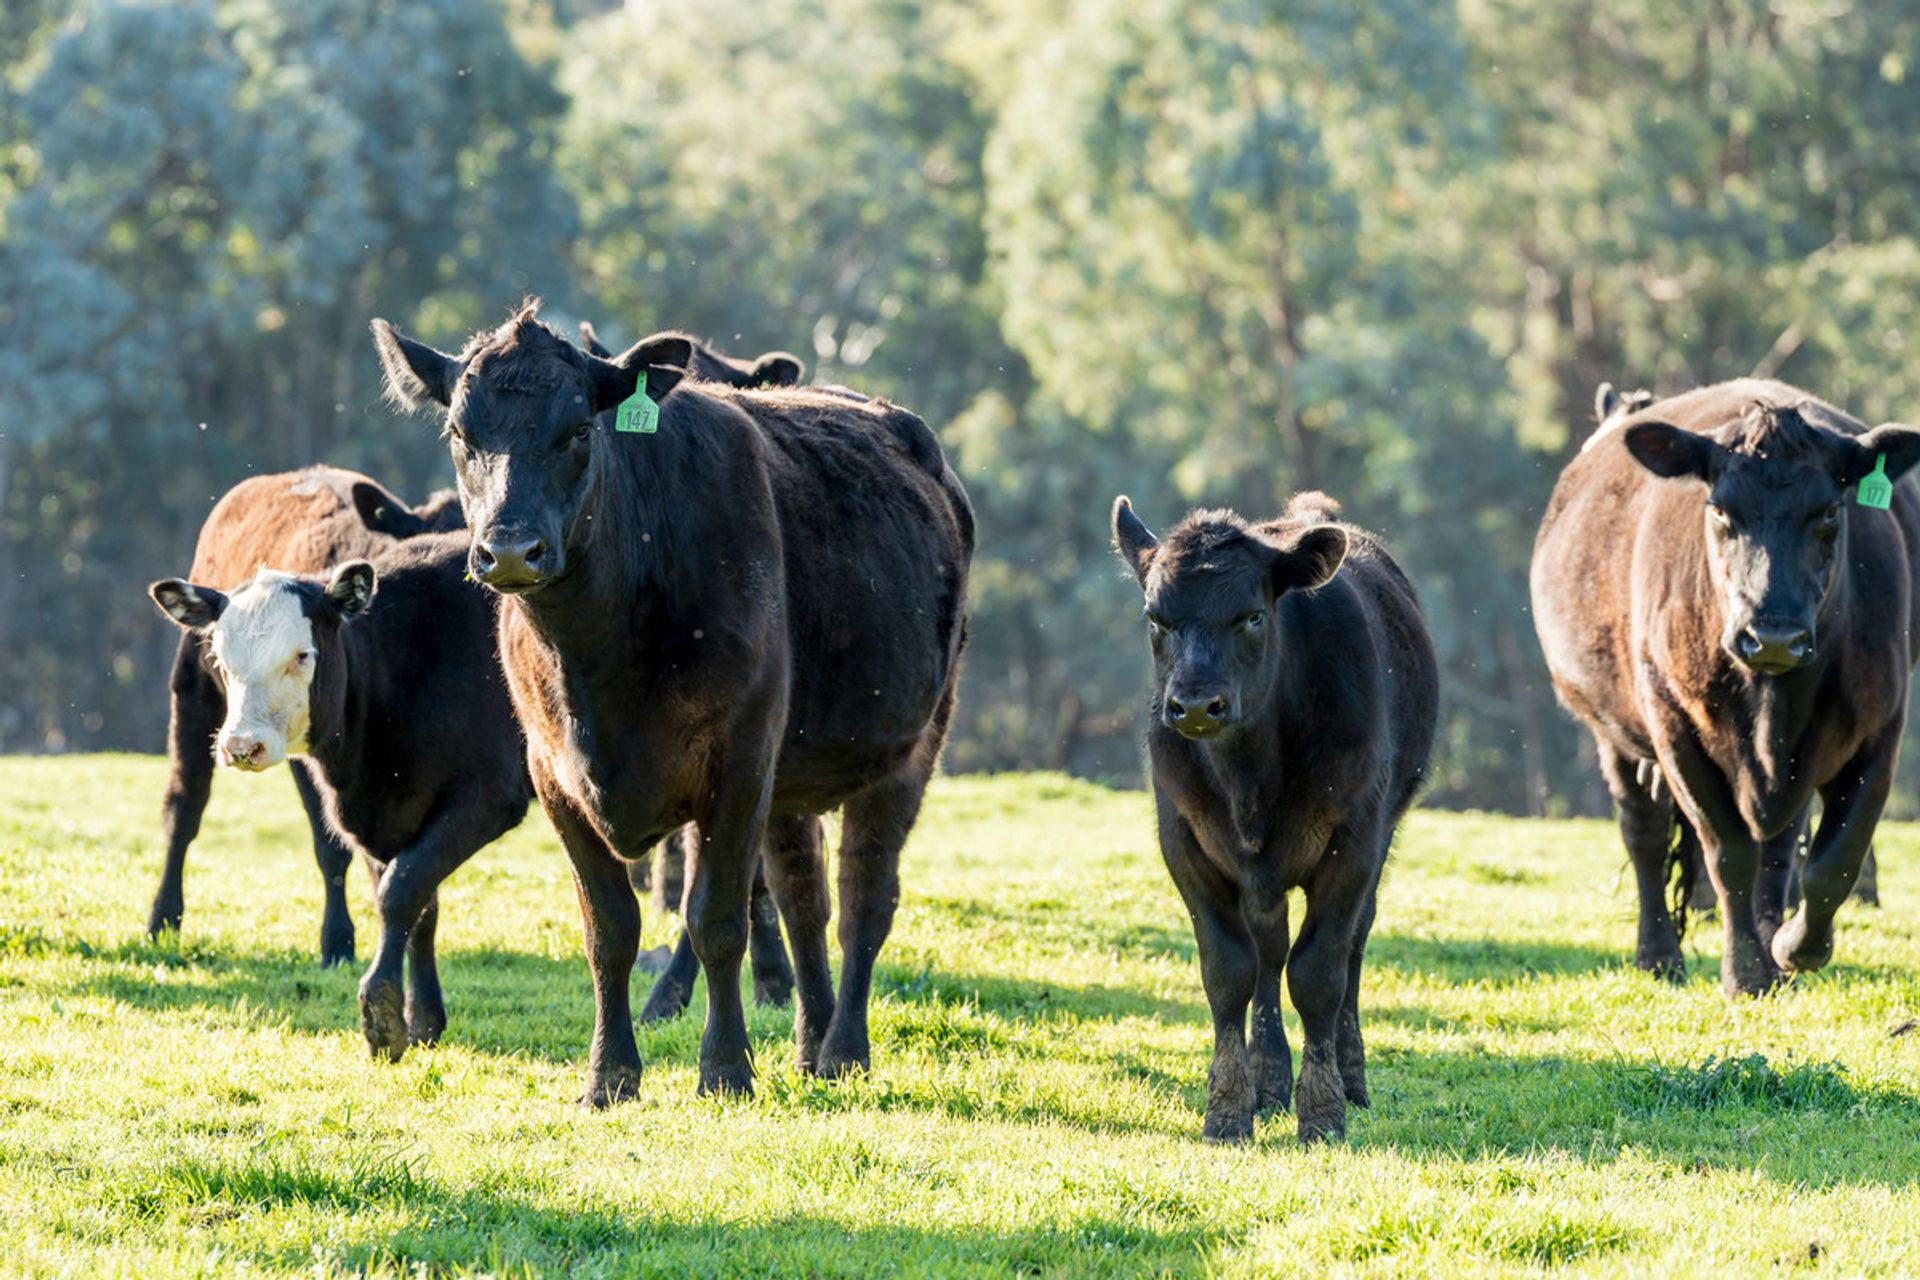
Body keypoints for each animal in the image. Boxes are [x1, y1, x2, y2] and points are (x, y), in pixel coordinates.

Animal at [150, 533, 534, 1060]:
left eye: (302, 655)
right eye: (222, 662)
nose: (242, 746)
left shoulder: (489, 794)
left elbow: (400, 890)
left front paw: (383, 1013)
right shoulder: (388, 815)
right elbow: (418, 906)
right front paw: (423, 1020)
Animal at [371, 300, 973, 1105]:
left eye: (580, 430)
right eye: (461, 436)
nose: (510, 551)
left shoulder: (739, 764)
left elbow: (714, 918)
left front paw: (725, 1069)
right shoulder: (553, 776)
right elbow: (610, 930)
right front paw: (609, 1075)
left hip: (911, 745)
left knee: (863, 899)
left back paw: (844, 1048)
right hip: (791, 776)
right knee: (804, 897)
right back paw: (811, 1044)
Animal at [1111, 491, 1438, 1144]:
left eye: (1254, 616)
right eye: (1156, 619)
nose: (1195, 705)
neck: (1249, 782)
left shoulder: (1353, 841)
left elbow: (1320, 974)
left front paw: (1323, 1111)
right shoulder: (1183, 842)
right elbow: (1230, 971)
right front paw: (1228, 1109)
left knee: (1352, 948)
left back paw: (1350, 1077)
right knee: (1268, 953)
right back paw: (1268, 1082)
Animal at [1531, 379, 1920, 995]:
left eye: (1830, 512)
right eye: (1719, 511)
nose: (1774, 636)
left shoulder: (1879, 729)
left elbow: (1834, 860)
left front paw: (1792, 948)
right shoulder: (1676, 728)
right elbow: (1728, 852)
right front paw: (1745, 974)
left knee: (1780, 847)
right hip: (1613, 731)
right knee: (1644, 833)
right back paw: (1659, 957)